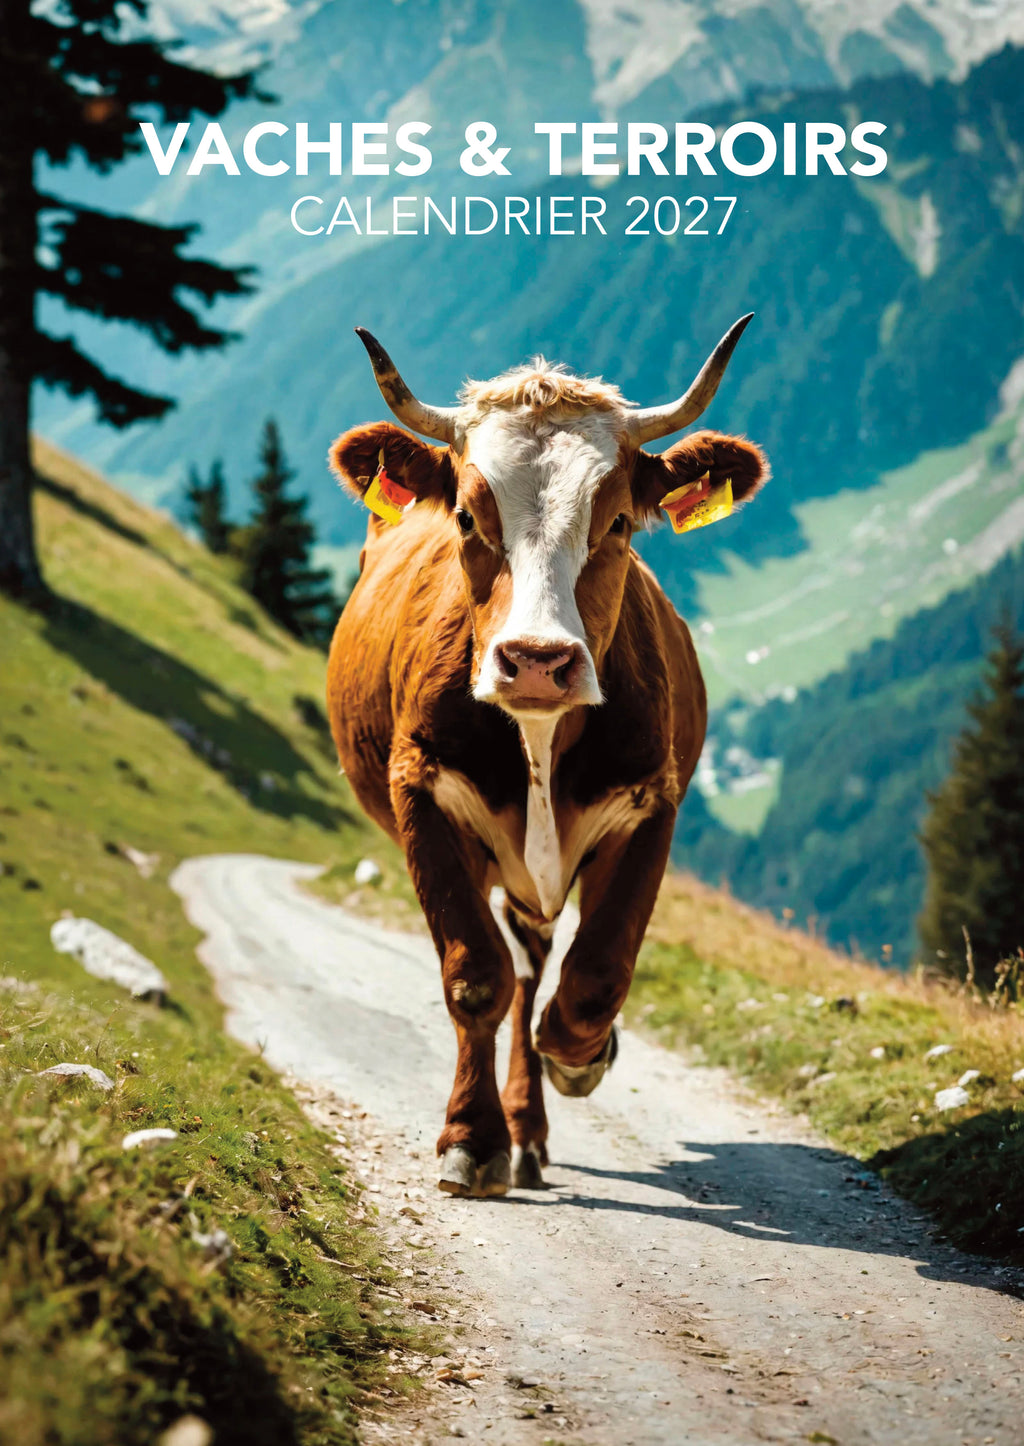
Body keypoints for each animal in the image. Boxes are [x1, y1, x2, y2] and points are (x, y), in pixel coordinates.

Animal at [326, 318, 768, 1198]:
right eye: (467, 518)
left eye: (621, 522)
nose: (535, 660)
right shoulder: (422, 792)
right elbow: (474, 975)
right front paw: (471, 1139)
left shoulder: (651, 803)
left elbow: (593, 977)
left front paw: (582, 1057)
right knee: (515, 967)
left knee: (538, 968)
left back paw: (537, 1116)